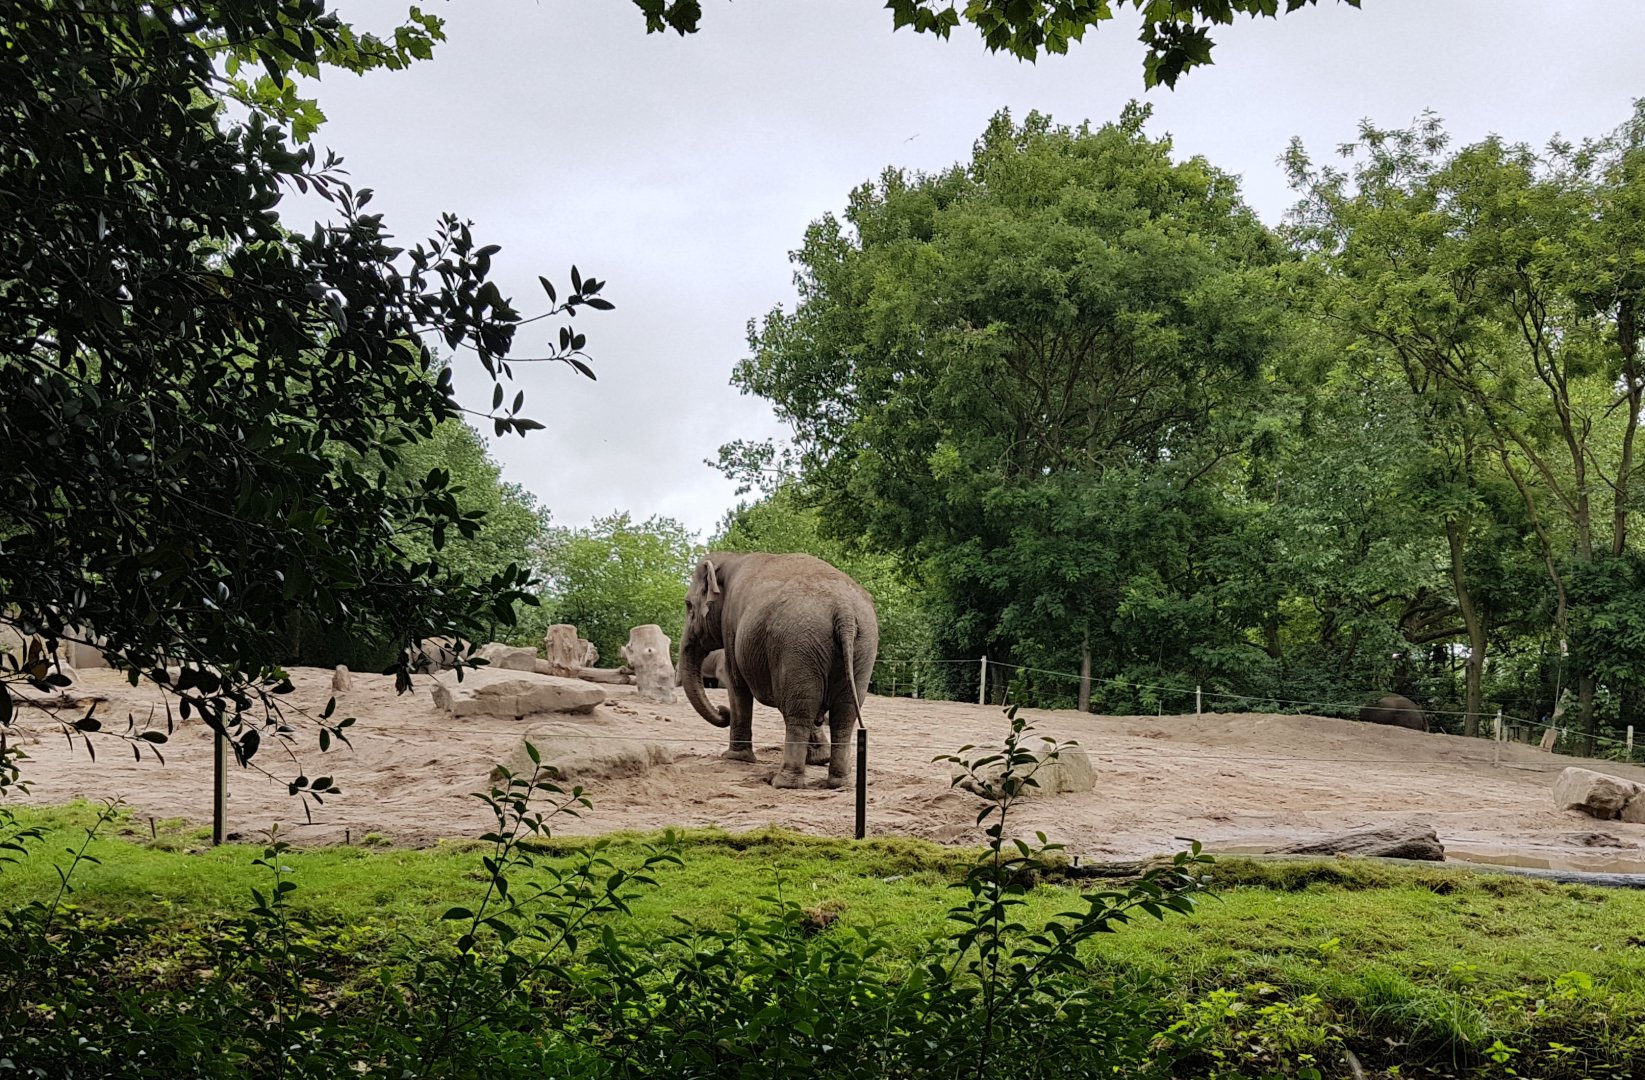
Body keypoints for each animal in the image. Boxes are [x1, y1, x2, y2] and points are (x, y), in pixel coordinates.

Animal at [679, 552, 879, 789]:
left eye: (688, 605)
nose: (722, 711)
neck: (731, 558)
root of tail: (844, 610)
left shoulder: (730, 626)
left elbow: (736, 683)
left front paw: (734, 758)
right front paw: (819, 758)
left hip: (799, 647)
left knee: (798, 712)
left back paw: (783, 782)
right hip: (861, 649)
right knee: (843, 714)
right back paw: (839, 783)